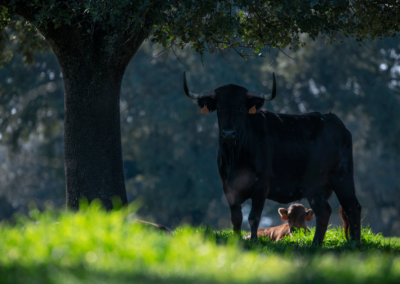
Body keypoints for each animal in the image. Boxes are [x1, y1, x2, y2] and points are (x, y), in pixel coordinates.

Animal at [183, 71, 360, 244]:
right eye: (219, 107)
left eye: (242, 107)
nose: (228, 133)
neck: (236, 157)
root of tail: (335, 121)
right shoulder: (228, 186)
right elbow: (236, 218)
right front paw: (236, 241)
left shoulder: (261, 185)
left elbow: (254, 217)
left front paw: (254, 241)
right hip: (317, 188)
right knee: (324, 212)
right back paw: (315, 244)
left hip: (342, 177)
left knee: (352, 207)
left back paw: (355, 242)